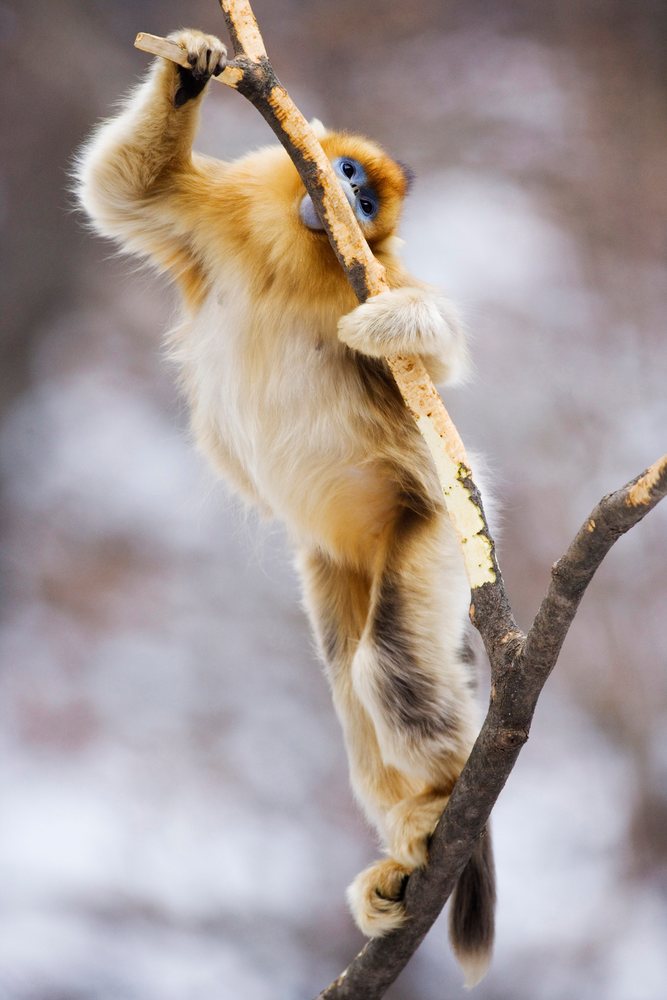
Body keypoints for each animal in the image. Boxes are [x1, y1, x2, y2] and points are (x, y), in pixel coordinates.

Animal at [75, 28, 496, 987]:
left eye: (365, 197)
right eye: (344, 173)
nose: (345, 196)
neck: (295, 258)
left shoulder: (375, 273)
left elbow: (437, 364)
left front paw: (396, 329)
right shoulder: (212, 223)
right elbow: (120, 191)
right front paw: (190, 64)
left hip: (430, 530)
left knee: (388, 665)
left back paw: (433, 808)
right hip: (336, 565)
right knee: (344, 673)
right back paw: (398, 855)